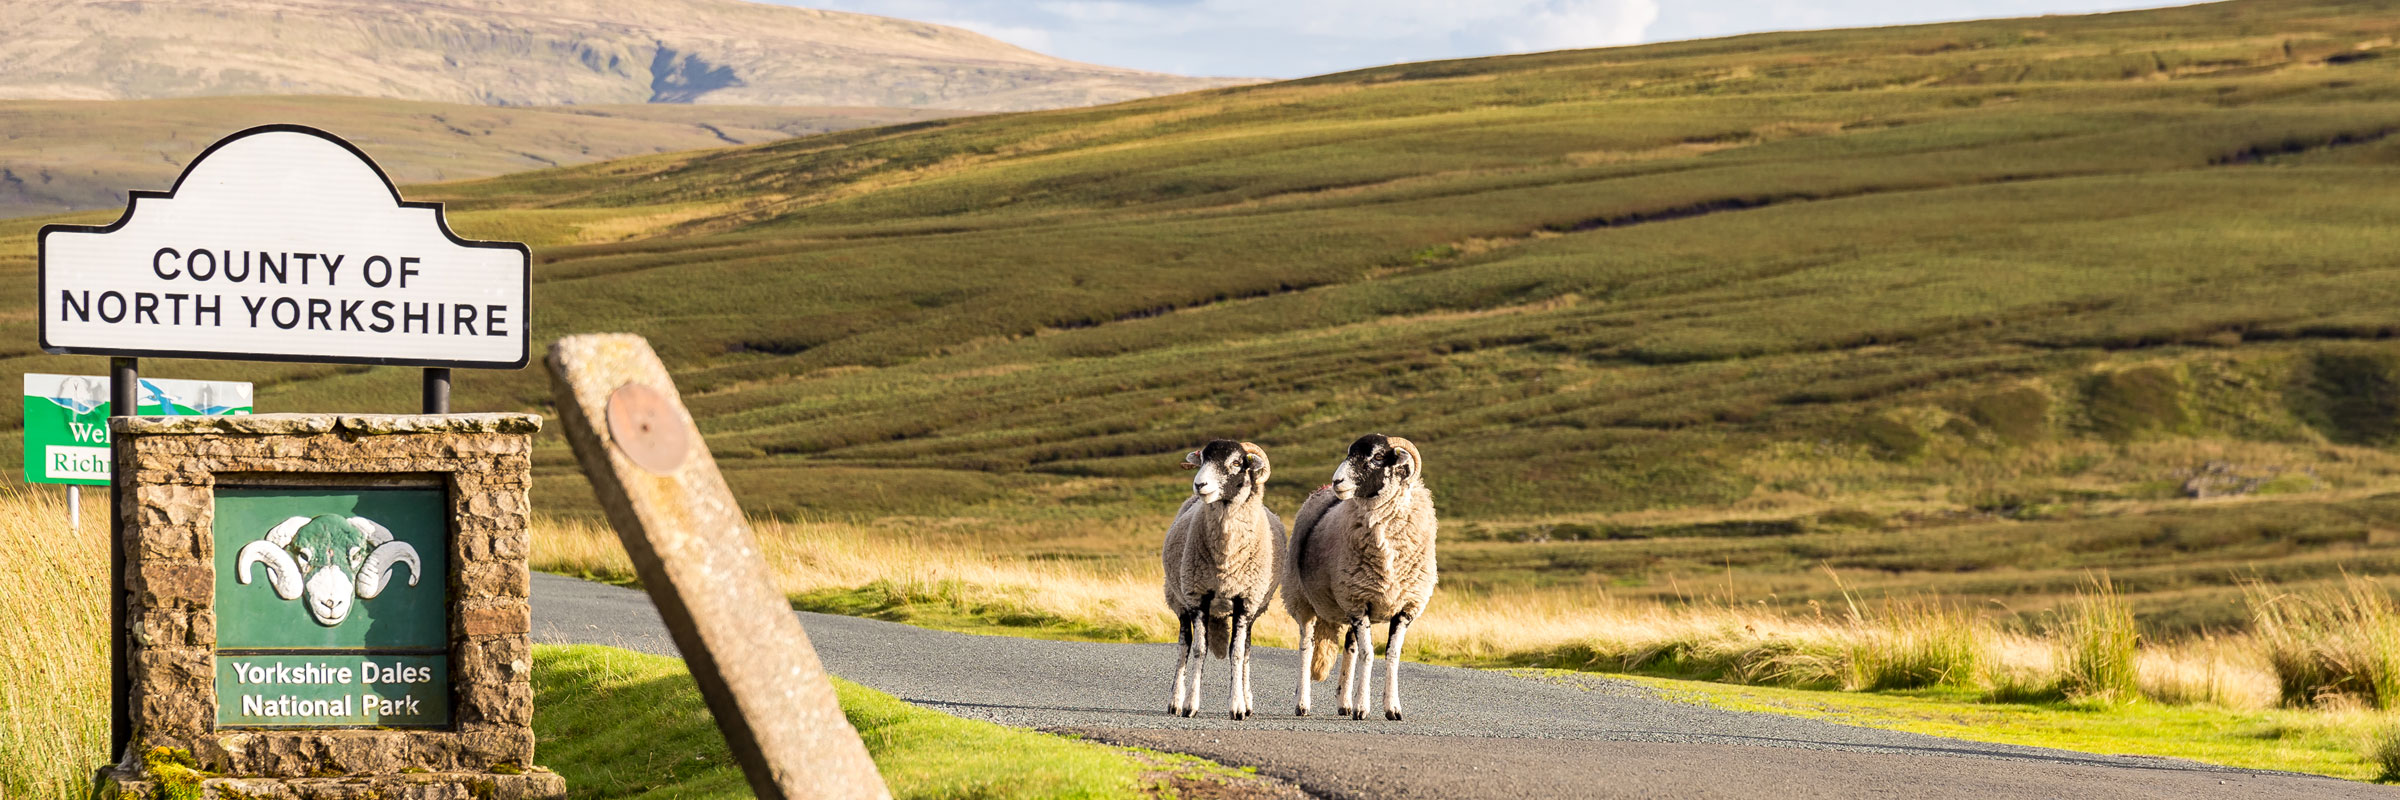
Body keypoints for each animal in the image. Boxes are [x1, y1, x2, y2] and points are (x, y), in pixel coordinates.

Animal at [1166, 439, 1296, 720]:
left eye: (1236, 462)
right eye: (1203, 459)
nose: (1200, 484)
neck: (1226, 559)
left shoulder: (1245, 601)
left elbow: (1237, 653)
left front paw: (1238, 706)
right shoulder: (1198, 597)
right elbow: (1199, 650)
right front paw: (1190, 705)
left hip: (1254, 609)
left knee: (1246, 649)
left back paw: (1247, 702)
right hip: (1178, 599)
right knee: (1184, 646)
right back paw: (1174, 701)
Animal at [1286, 432, 1430, 720]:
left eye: (1377, 457)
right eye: (1350, 453)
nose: (1337, 481)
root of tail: (1319, 490)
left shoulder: (1404, 607)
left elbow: (1391, 655)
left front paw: (1392, 708)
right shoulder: (1358, 602)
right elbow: (1369, 654)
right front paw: (1363, 707)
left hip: (1345, 604)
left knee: (1349, 649)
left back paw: (1344, 702)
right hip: (1302, 599)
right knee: (1306, 647)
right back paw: (1302, 703)